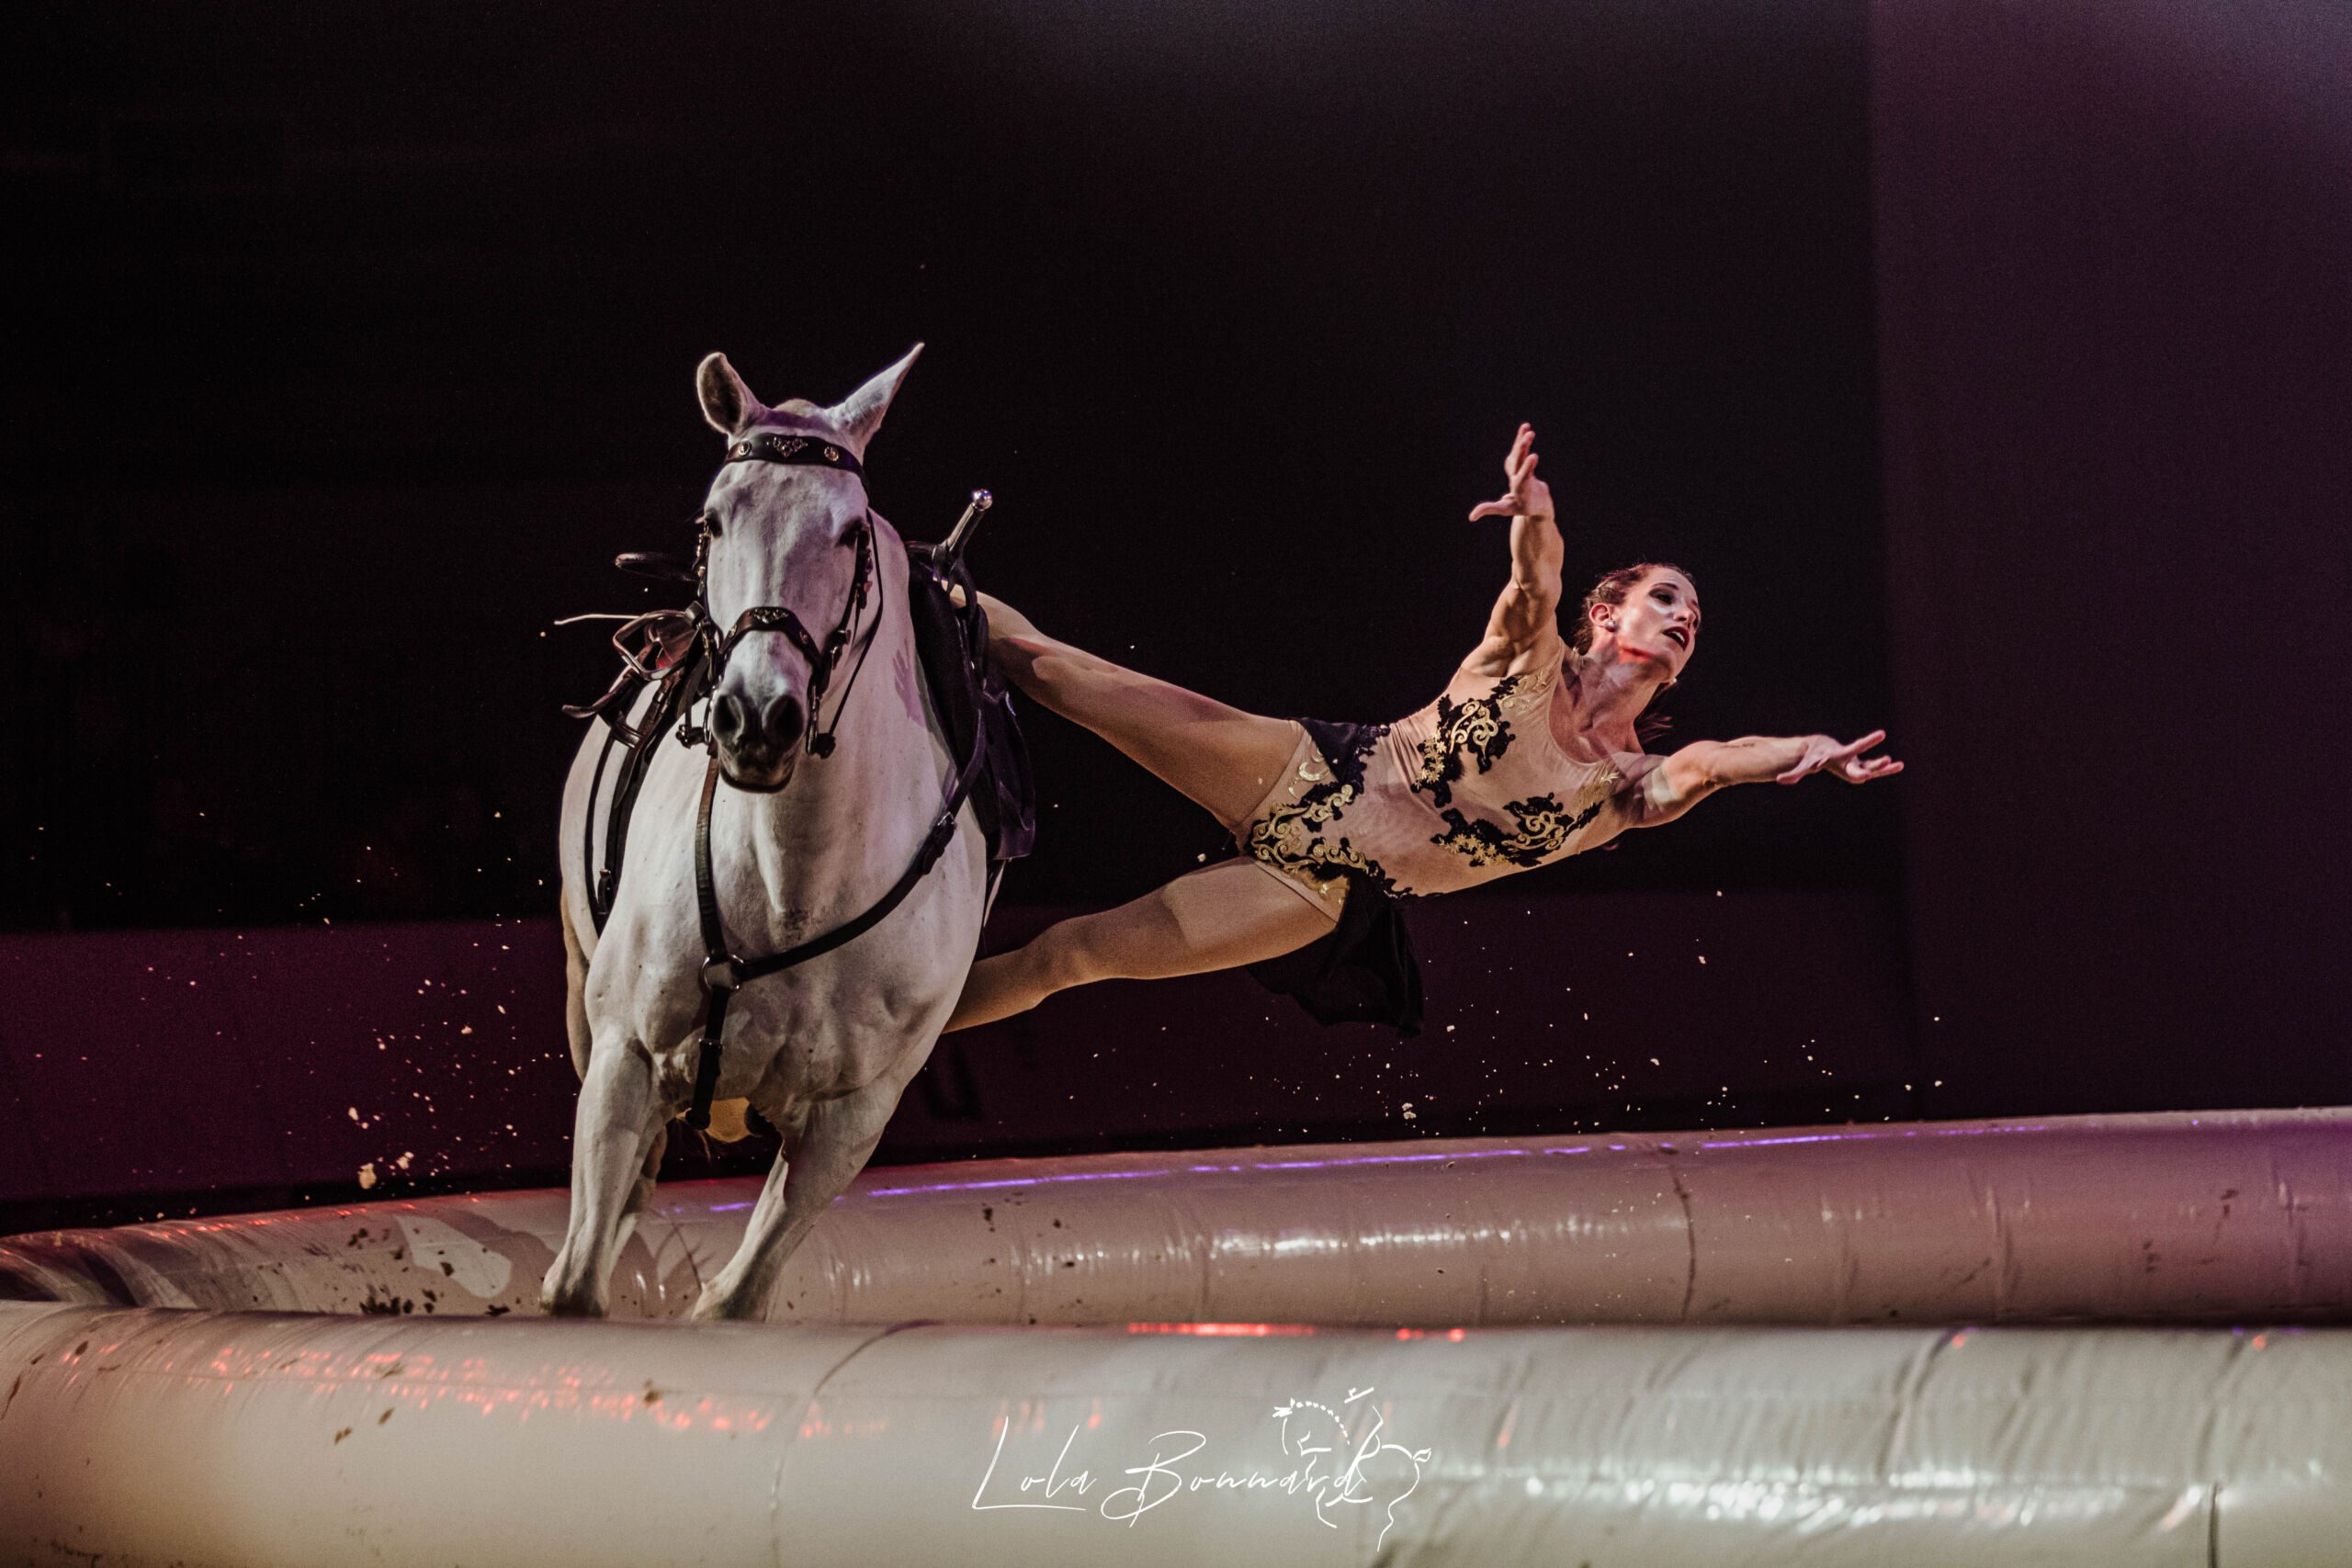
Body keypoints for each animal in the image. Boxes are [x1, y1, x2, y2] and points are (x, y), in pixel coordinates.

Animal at [540, 345, 983, 1325]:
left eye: (851, 533)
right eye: (715, 517)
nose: (756, 720)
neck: (794, 881)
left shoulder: (849, 1120)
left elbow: (737, 1298)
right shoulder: (624, 1058)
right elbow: (577, 1285)